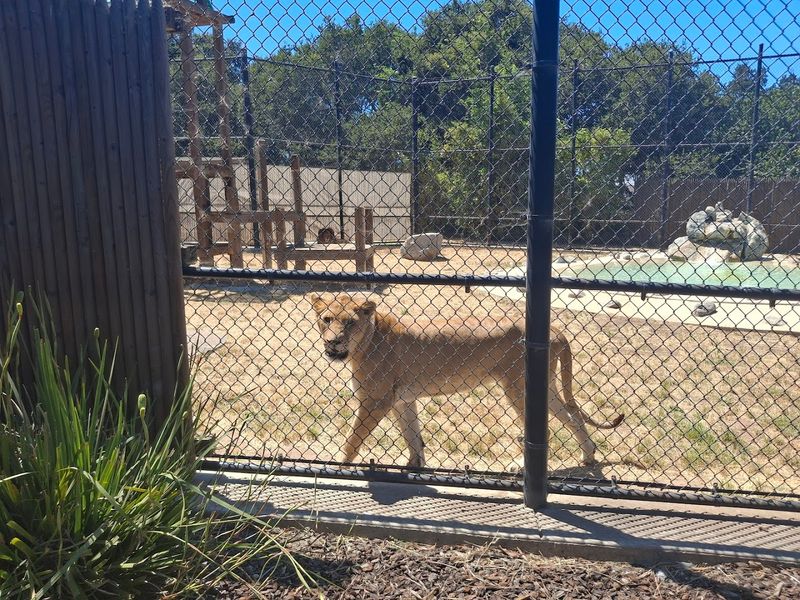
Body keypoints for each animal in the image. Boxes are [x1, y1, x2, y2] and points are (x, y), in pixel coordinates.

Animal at [310, 293, 623, 468]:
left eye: (350, 322)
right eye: (326, 319)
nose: (333, 341)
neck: (363, 344)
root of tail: (555, 328)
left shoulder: (376, 400)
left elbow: (353, 439)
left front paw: (342, 470)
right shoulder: (402, 400)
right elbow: (413, 438)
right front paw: (414, 467)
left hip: (518, 388)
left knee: (544, 429)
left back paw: (521, 467)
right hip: (545, 386)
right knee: (573, 415)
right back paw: (589, 456)